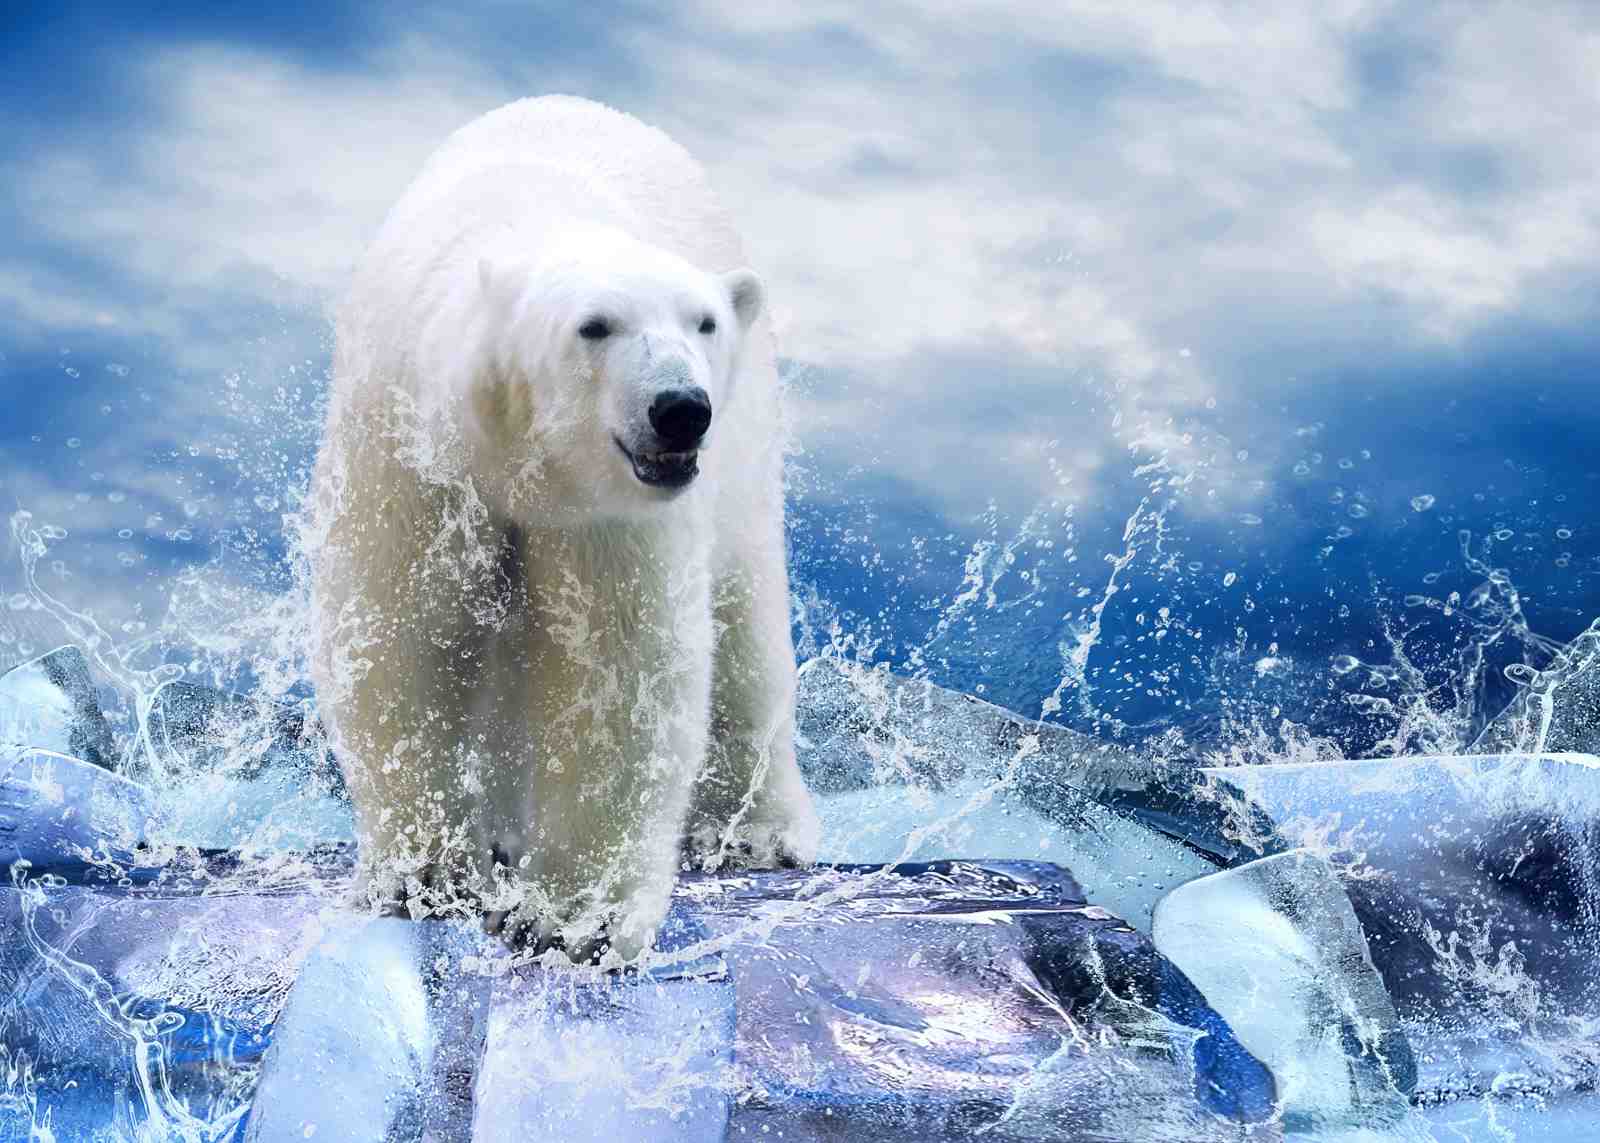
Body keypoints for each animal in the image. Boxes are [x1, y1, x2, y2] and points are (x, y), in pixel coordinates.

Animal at [305, 95, 820, 962]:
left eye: (704, 321)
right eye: (595, 325)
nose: (680, 408)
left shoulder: (608, 513)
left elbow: (615, 669)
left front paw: (572, 916)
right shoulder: (411, 449)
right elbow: (400, 632)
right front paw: (428, 875)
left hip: (747, 460)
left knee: (746, 632)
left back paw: (758, 831)